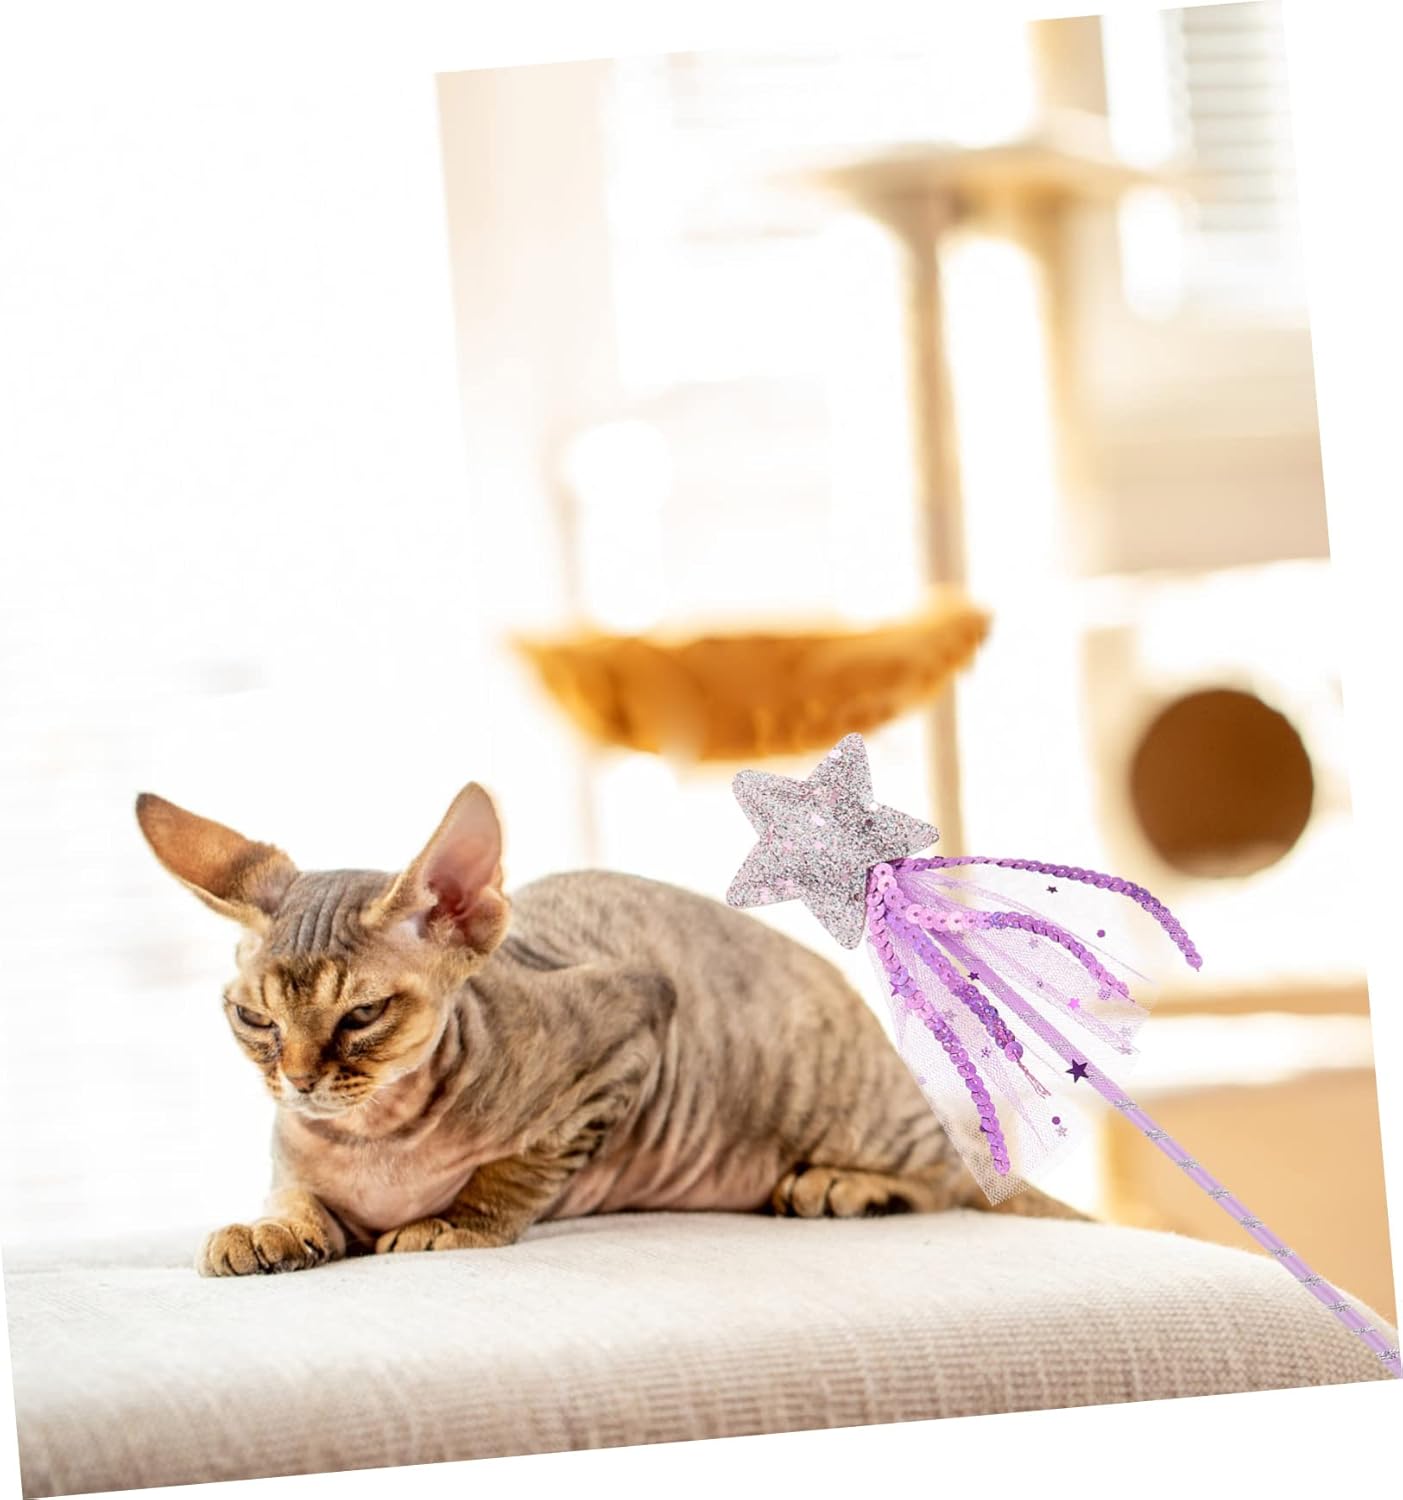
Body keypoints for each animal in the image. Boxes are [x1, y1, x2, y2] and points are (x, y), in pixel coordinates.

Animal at [135, 782, 1084, 1276]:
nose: (295, 1081)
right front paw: (264, 1232)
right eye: (253, 1018)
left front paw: (459, 1221)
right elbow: (292, 1196)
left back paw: (842, 1185)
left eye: (361, 1015)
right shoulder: (300, 1161)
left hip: (851, 1104)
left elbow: (518, 1168)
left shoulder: (627, 1033)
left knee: (951, 1173)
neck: (373, 1137)